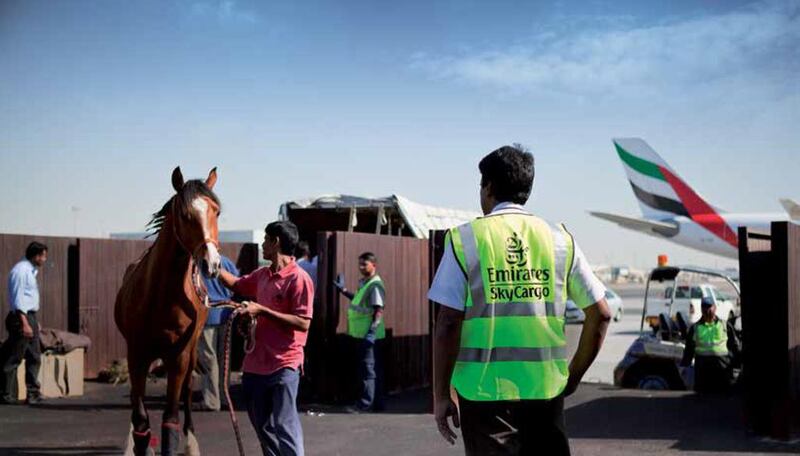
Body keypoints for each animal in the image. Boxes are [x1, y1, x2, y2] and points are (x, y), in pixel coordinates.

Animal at [115, 167, 222, 456]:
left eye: (217, 211)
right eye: (185, 214)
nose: (212, 264)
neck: (159, 296)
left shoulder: (179, 356)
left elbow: (171, 418)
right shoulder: (136, 353)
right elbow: (141, 418)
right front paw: (138, 443)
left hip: (192, 351)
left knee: (187, 392)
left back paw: (191, 441)